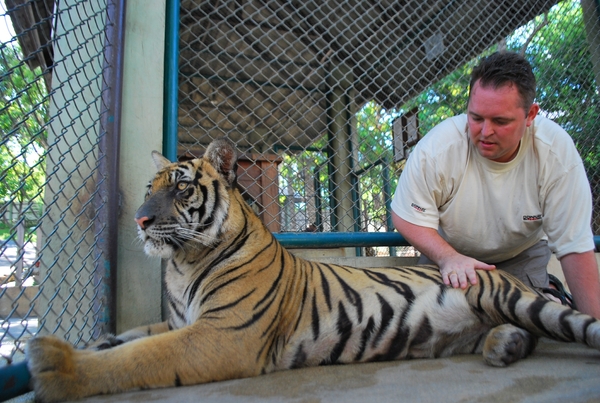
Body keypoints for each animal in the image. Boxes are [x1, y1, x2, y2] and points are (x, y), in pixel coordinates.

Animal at [25, 139, 600, 403]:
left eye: (182, 187)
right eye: (149, 188)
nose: (141, 219)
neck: (183, 264)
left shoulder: (220, 335)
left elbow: (139, 356)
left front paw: (57, 366)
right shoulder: (182, 321)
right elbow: (131, 336)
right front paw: (93, 342)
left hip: (514, 297)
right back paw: (501, 345)